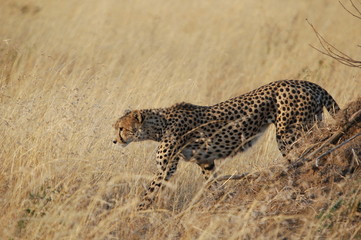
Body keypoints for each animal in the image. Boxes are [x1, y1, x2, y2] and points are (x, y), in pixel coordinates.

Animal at [112, 79, 338, 209]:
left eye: (121, 128)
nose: (114, 140)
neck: (159, 125)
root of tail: (306, 83)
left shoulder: (166, 168)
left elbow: (149, 192)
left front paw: (135, 212)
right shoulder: (205, 161)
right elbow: (213, 184)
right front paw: (221, 200)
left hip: (289, 133)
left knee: (303, 153)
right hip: (312, 122)